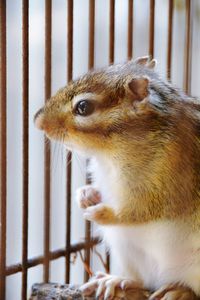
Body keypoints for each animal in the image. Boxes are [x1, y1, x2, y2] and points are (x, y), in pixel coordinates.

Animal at [34, 56, 200, 300]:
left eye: (83, 107)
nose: (37, 121)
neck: (109, 155)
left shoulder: (172, 183)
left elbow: (141, 210)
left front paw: (101, 213)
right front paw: (85, 195)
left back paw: (178, 290)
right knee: (141, 280)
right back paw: (116, 281)